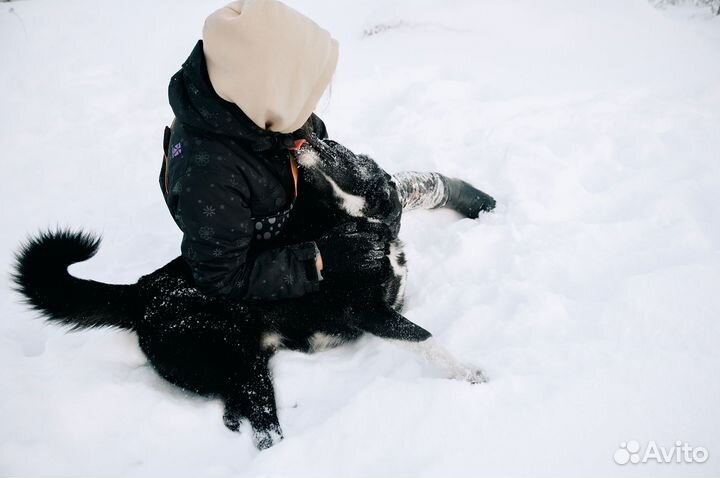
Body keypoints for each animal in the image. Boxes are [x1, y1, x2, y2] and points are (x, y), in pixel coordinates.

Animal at [12, 134, 496, 448]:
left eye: (343, 151)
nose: (306, 139)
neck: (354, 225)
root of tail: (142, 290)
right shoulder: (367, 312)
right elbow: (424, 337)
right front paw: (469, 372)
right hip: (236, 358)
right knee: (264, 429)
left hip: (246, 366)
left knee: (238, 409)